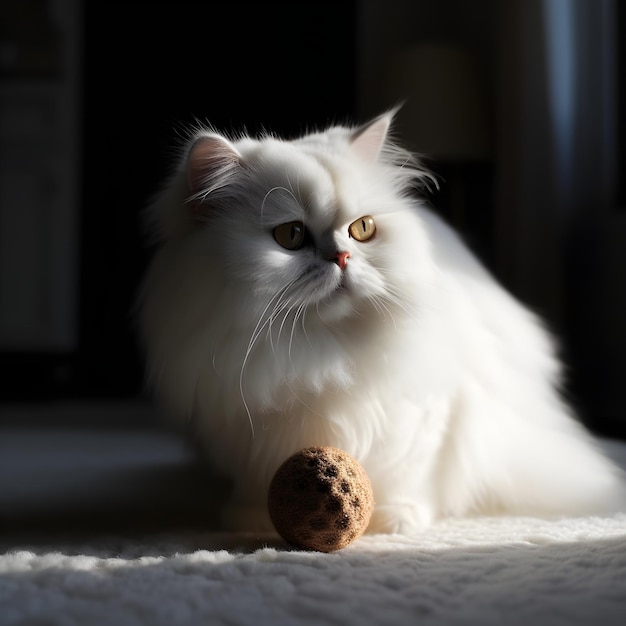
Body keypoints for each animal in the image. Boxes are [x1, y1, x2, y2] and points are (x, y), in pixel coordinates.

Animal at [139, 112, 620, 532]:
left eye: (363, 229)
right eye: (290, 236)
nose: (342, 257)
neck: (321, 352)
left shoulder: (425, 413)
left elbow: (408, 474)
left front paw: (397, 518)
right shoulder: (240, 419)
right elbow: (257, 481)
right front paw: (252, 517)